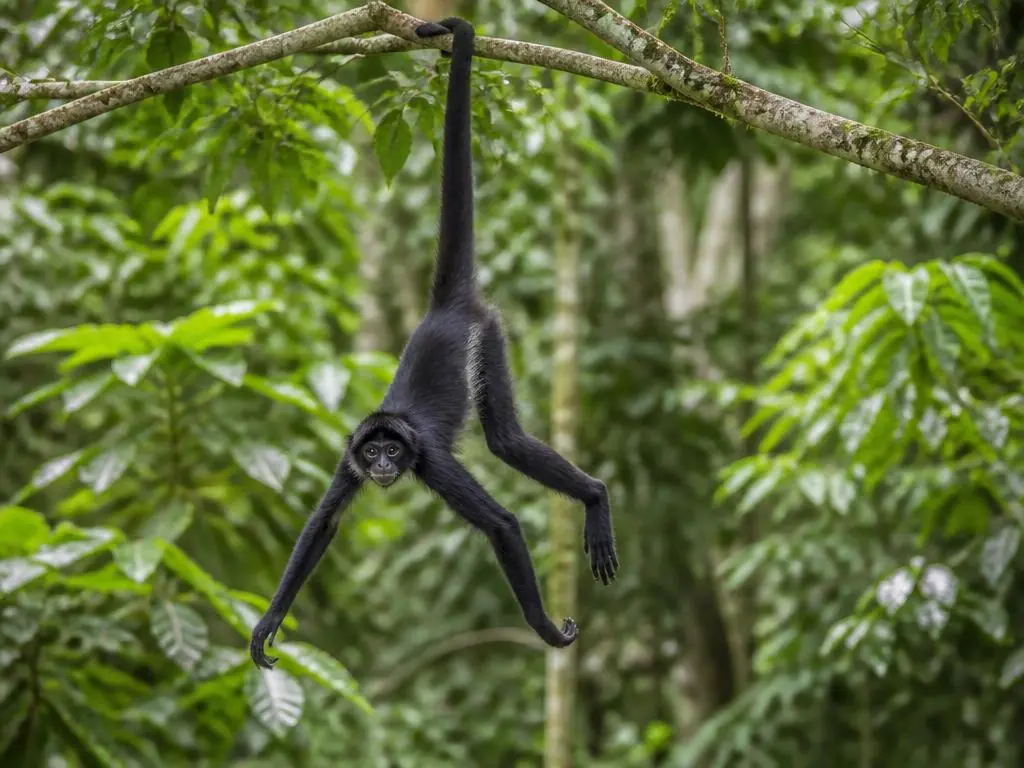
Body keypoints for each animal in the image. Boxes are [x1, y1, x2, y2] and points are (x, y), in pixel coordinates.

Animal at [250, 17, 617, 669]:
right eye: (372, 452)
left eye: (393, 452)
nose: (383, 467)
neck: (397, 432)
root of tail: (443, 308)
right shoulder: (347, 453)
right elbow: (323, 524)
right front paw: (268, 621)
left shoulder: (431, 460)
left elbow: (502, 524)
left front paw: (545, 631)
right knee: (505, 441)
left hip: (487, 333)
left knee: (505, 441)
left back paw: (595, 497)